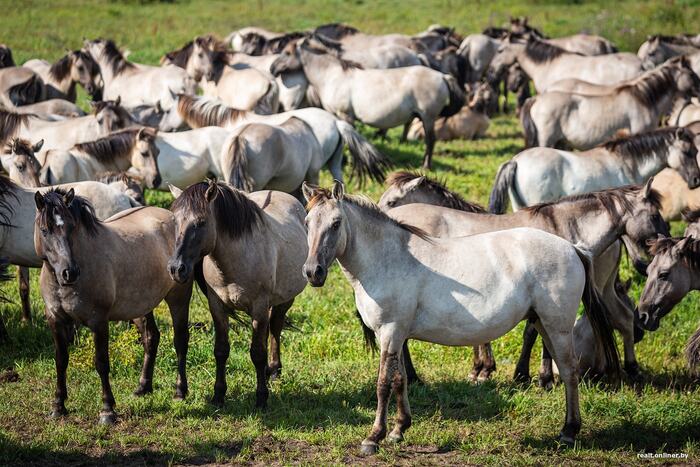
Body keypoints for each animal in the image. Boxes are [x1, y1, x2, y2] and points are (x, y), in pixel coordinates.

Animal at [35, 189, 194, 424]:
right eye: (45, 230)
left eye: (71, 228)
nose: (69, 273)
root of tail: (173, 217)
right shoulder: (56, 320)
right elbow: (61, 361)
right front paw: (58, 406)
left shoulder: (99, 322)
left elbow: (101, 363)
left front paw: (107, 410)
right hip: (140, 304)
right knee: (151, 338)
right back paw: (143, 387)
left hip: (179, 298)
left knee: (181, 340)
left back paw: (180, 391)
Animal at [168, 180, 308, 408]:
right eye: (174, 221)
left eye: (201, 222)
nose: (175, 268)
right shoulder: (217, 307)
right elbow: (221, 350)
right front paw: (218, 395)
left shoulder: (259, 307)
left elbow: (257, 353)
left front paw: (261, 398)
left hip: (285, 299)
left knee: (275, 327)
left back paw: (274, 370)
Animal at [270, 36, 465, 169]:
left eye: (287, 53)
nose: (272, 68)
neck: (333, 75)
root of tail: (442, 76)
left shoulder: (346, 115)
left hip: (428, 116)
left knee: (430, 140)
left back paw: (425, 166)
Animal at [302, 181, 619, 454]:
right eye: (307, 223)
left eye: (336, 223)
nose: (312, 272)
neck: (387, 258)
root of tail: (573, 248)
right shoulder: (395, 334)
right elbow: (400, 379)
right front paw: (398, 430)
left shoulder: (390, 332)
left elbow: (383, 384)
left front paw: (373, 437)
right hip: (543, 324)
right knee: (565, 371)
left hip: (558, 327)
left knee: (570, 371)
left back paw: (569, 431)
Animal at [379, 173, 664, 383]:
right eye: (655, 215)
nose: (662, 244)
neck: (562, 228)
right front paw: (530, 375)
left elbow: (531, 334)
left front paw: (529, 375)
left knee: (621, 319)